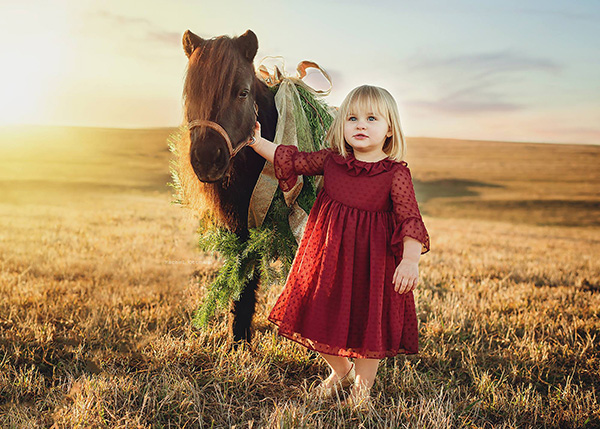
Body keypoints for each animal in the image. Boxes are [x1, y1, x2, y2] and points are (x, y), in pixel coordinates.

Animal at [180, 29, 278, 342]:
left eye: (242, 92)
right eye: (190, 92)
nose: (207, 159)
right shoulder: (239, 225)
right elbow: (242, 273)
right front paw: (238, 337)